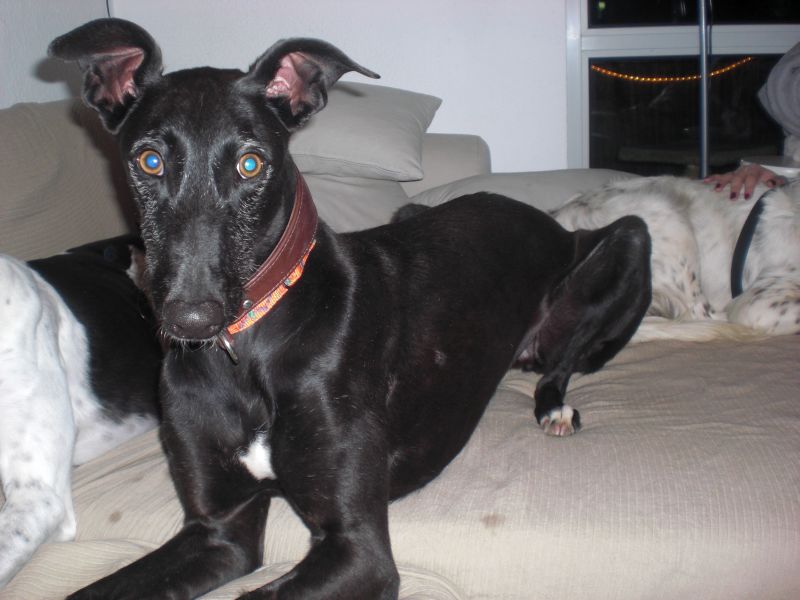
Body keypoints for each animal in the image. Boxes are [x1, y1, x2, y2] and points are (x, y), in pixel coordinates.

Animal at [50, 18, 651, 599]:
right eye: (149, 161)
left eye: (251, 164)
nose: (191, 320)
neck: (248, 345)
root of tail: (548, 220)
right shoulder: (219, 530)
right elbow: (90, 592)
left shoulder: (356, 548)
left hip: (627, 239)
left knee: (561, 362)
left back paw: (554, 408)